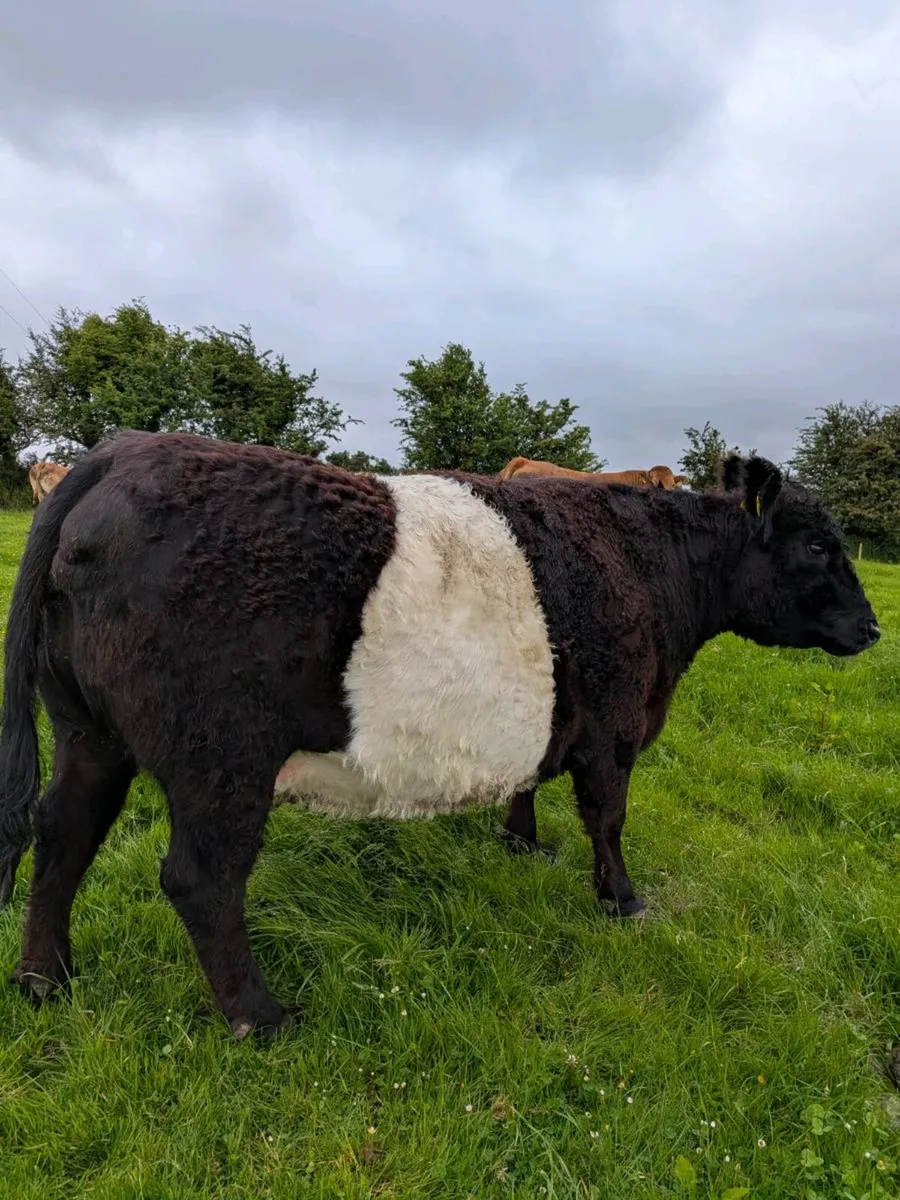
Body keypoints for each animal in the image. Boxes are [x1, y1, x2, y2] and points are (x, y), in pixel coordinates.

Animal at [0, 430, 880, 1040]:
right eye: (816, 544)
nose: (873, 627)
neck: (651, 564)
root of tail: (121, 450)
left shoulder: (559, 720)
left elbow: (531, 777)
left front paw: (522, 841)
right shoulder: (614, 726)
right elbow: (608, 817)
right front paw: (624, 900)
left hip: (87, 730)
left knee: (63, 830)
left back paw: (46, 980)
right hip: (222, 756)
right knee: (199, 879)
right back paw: (261, 1017)